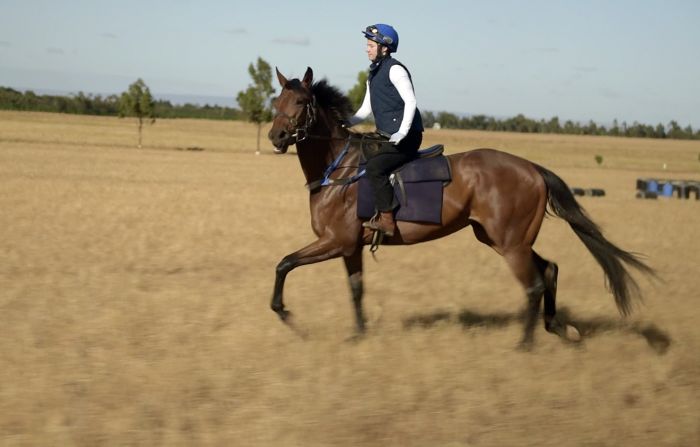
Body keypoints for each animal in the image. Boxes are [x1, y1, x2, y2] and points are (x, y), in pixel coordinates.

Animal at [266, 66, 652, 348]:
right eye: (276, 101)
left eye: (301, 102)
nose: (276, 137)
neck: (338, 169)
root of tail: (532, 168)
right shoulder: (351, 248)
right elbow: (356, 289)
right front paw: (358, 336)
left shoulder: (336, 242)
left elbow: (284, 264)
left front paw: (286, 314)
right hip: (501, 238)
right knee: (550, 270)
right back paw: (558, 328)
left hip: (510, 243)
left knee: (534, 285)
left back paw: (525, 346)